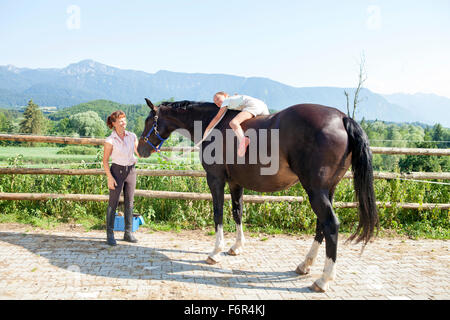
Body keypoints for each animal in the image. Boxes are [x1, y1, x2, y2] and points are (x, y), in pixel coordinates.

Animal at [138, 98, 380, 292]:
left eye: (149, 122)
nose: (141, 150)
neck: (212, 124)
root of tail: (343, 118)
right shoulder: (235, 183)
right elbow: (237, 212)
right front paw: (236, 247)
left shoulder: (215, 180)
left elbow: (218, 214)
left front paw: (215, 252)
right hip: (327, 191)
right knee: (322, 225)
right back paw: (305, 265)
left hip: (316, 191)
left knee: (331, 225)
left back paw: (323, 280)